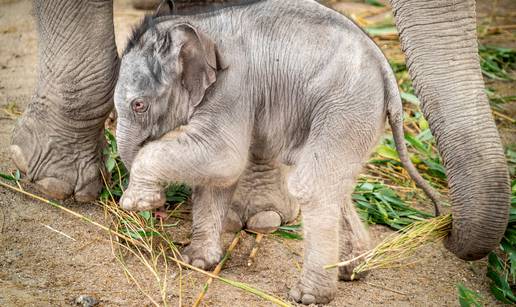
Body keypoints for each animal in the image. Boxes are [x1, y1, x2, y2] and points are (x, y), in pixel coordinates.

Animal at [114, 0, 440, 304]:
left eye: (138, 105)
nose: (159, 207)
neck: (200, 24)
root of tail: (387, 74)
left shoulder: (234, 88)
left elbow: (224, 158)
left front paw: (133, 202)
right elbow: (218, 178)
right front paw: (195, 261)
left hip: (346, 107)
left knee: (313, 186)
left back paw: (309, 296)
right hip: (359, 118)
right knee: (337, 185)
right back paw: (352, 272)